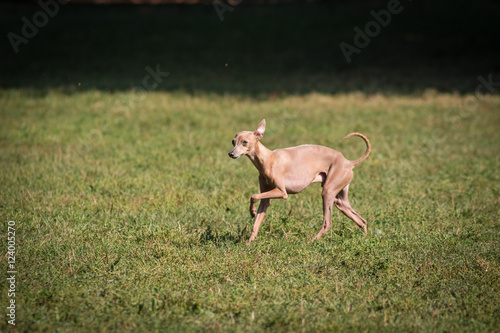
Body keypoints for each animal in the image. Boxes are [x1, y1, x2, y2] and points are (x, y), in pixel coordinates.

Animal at [229, 119, 370, 244]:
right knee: (361, 220)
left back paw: (311, 241)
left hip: (328, 192)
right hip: (339, 200)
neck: (267, 158)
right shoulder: (265, 199)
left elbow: (253, 196)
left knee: (327, 223)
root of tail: (348, 162)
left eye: (245, 142)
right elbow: (256, 223)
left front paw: (252, 212)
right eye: (233, 142)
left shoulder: (281, 192)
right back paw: (364, 240)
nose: (231, 154)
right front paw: (249, 242)